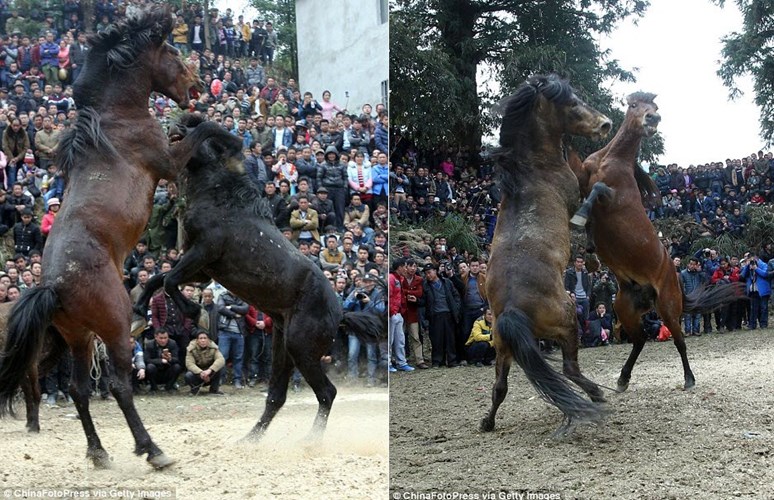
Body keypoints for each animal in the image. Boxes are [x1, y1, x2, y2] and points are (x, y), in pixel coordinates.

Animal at [0, 5, 215, 470]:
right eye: (173, 51)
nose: (197, 83)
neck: (116, 115)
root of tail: (52, 287)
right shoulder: (168, 161)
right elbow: (198, 132)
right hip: (112, 328)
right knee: (117, 385)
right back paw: (153, 451)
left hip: (79, 337)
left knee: (80, 389)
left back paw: (99, 453)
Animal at [137, 115, 384, 440]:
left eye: (193, 129)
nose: (174, 126)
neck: (221, 199)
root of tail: (340, 311)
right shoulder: (201, 268)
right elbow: (160, 279)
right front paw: (139, 308)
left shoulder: (204, 254)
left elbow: (167, 280)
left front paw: (193, 310)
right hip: (282, 349)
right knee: (277, 396)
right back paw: (249, 440)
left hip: (300, 349)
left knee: (326, 392)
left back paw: (309, 440)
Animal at [482, 74, 616, 434]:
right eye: (572, 103)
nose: (605, 124)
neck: (533, 168)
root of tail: (513, 309)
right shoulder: (574, 197)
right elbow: (593, 197)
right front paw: (592, 250)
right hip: (568, 320)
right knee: (569, 368)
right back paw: (597, 394)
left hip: (504, 349)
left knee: (499, 386)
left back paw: (487, 422)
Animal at [572, 93, 744, 390]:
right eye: (634, 106)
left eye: (655, 108)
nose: (653, 119)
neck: (610, 159)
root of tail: (674, 276)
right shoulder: (583, 177)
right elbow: (578, 181)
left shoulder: (612, 197)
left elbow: (597, 190)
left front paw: (581, 219)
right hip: (624, 308)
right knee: (640, 340)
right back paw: (622, 379)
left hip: (668, 307)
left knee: (679, 341)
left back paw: (689, 379)